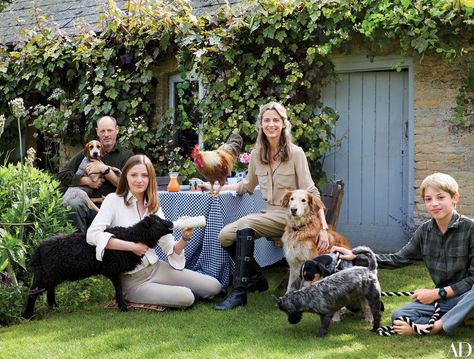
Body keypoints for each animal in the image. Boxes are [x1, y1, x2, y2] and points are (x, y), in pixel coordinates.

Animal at [23, 215, 172, 320]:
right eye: (157, 221)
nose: (171, 223)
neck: (130, 237)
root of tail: (38, 249)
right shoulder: (112, 269)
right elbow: (119, 287)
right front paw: (123, 306)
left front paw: (120, 304)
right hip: (45, 274)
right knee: (33, 292)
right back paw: (28, 316)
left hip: (52, 273)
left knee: (50, 289)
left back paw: (53, 306)